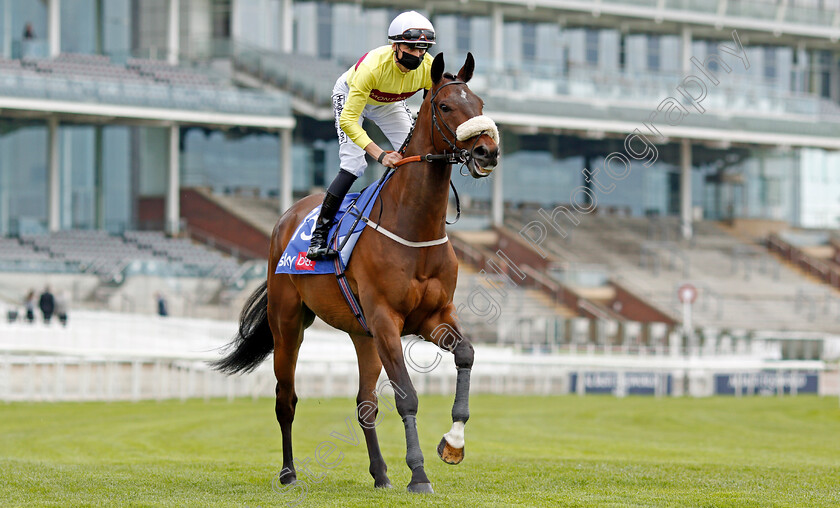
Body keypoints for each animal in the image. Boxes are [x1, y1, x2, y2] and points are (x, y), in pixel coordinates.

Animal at [212, 53, 498, 494]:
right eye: (447, 106)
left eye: (480, 103)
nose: (488, 151)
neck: (412, 227)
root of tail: (286, 217)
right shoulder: (386, 320)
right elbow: (407, 396)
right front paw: (418, 475)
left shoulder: (433, 317)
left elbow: (466, 353)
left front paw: (453, 444)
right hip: (289, 322)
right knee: (286, 398)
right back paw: (289, 472)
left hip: (362, 337)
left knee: (366, 404)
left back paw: (380, 474)